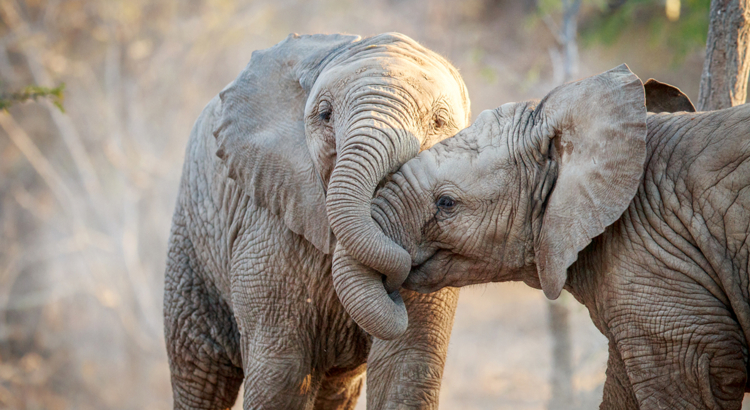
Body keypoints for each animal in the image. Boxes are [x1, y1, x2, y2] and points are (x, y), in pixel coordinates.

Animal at [164, 32, 470, 410]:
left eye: (439, 122)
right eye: (325, 114)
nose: (393, 282)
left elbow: (405, 367)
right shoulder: (268, 226)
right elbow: (282, 375)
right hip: (191, 240)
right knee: (199, 371)